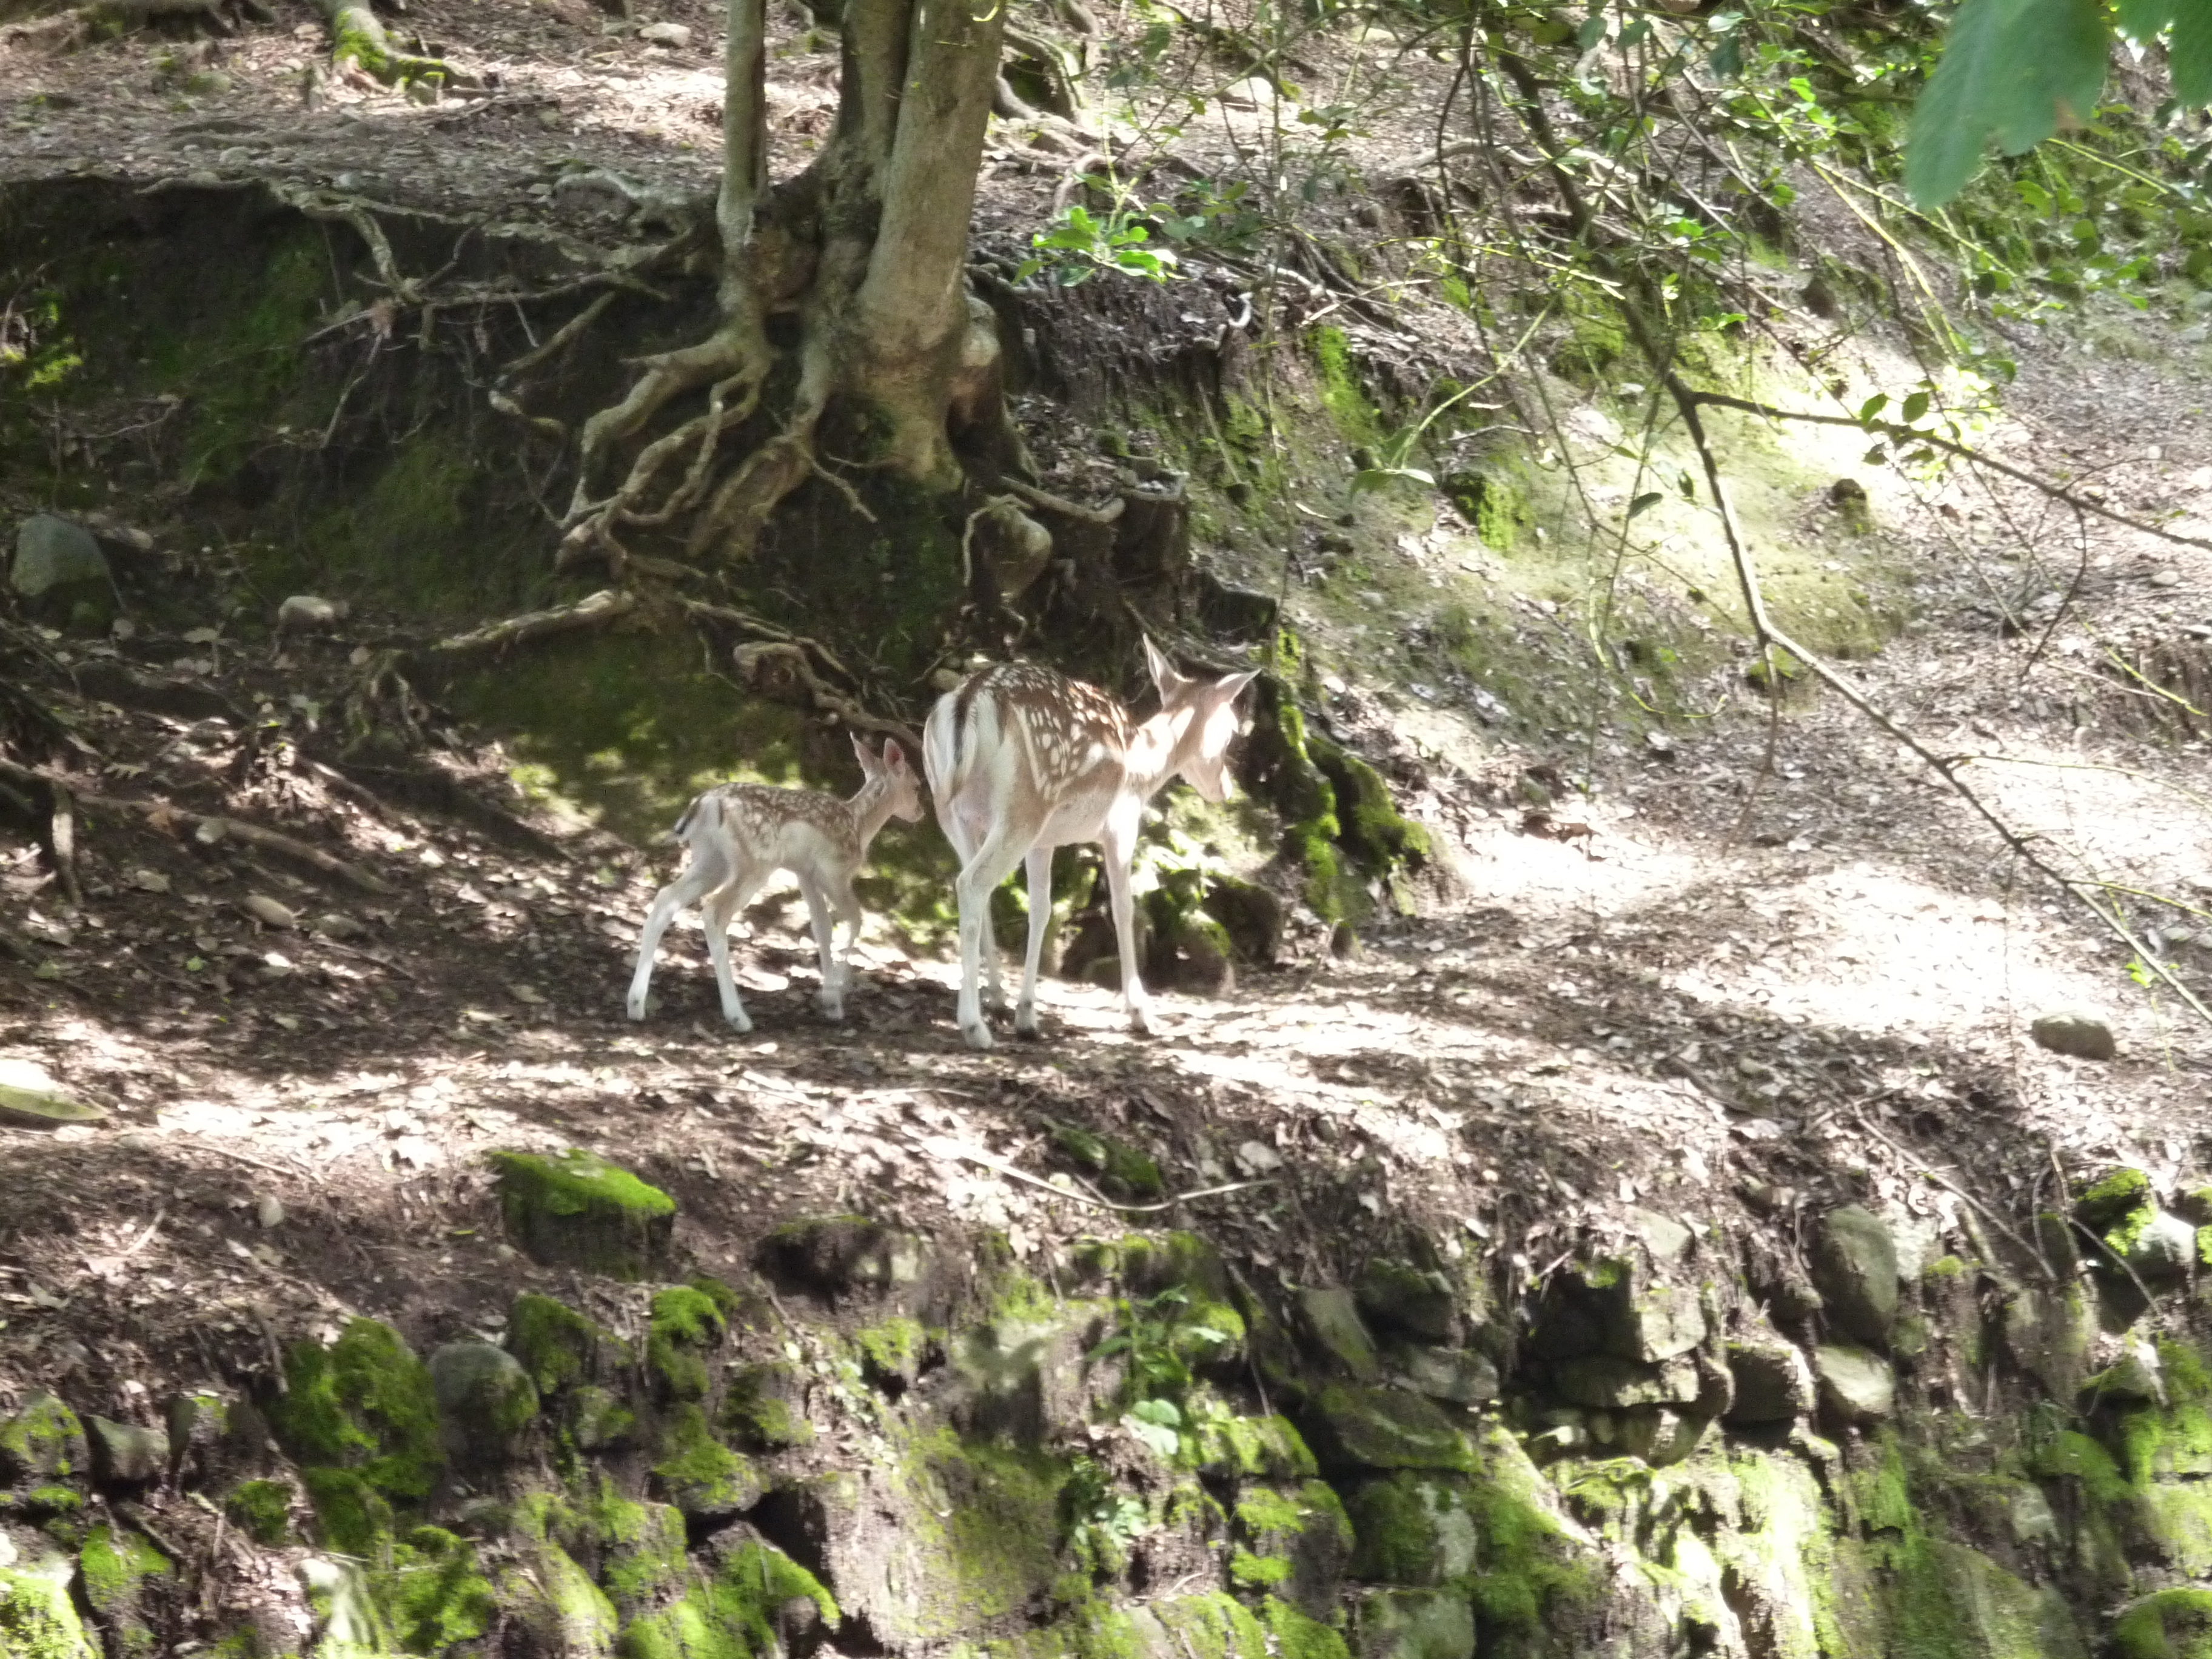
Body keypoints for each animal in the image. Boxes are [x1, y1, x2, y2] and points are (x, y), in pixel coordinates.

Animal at [628, 739, 920, 1035]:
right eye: (917, 785)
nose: (920, 813)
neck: (859, 827)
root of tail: (706, 803)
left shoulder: (805, 874)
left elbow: (822, 928)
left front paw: (832, 1004)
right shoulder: (834, 873)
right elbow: (855, 920)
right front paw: (835, 994)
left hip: (712, 860)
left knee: (667, 898)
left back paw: (636, 1005)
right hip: (755, 863)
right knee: (714, 912)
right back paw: (738, 1017)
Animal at [920, 641, 1265, 1053]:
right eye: (1229, 732)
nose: (1225, 788)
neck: (1145, 767)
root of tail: (968, 701)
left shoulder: (1044, 841)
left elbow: (1041, 909)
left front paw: (1024, 1013)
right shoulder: (1121, 825)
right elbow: (1123, 908)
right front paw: (1141, 1015)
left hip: (953, 810)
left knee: (972, 886)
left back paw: (994, 1002)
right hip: (1023, 809)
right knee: (971, 884)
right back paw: (974, 1027)